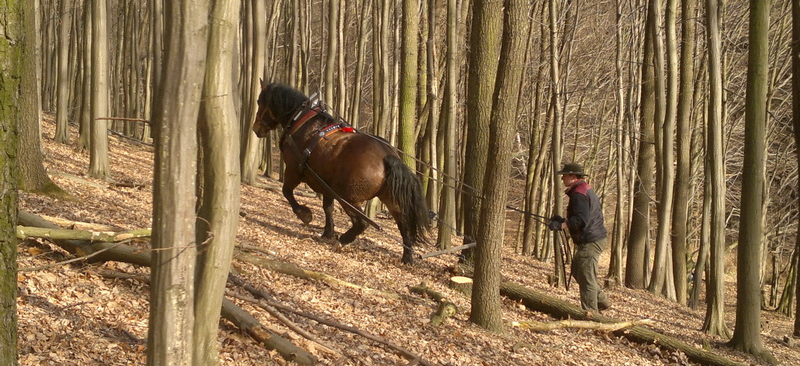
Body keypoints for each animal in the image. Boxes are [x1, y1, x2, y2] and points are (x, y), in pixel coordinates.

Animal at [255, 82, 432, 264]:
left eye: (259, 101)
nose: (256, 128)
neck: (301, 122)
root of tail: (387, 156)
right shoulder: (326, 185)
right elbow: (328, 208)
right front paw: (327, 232)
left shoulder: (293, 170)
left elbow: (287, 192)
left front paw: (305, 214)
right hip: (389, 199)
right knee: (403, 224)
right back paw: (407, 257)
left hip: (347, 197)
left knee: (361, 223)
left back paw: (343, 240)